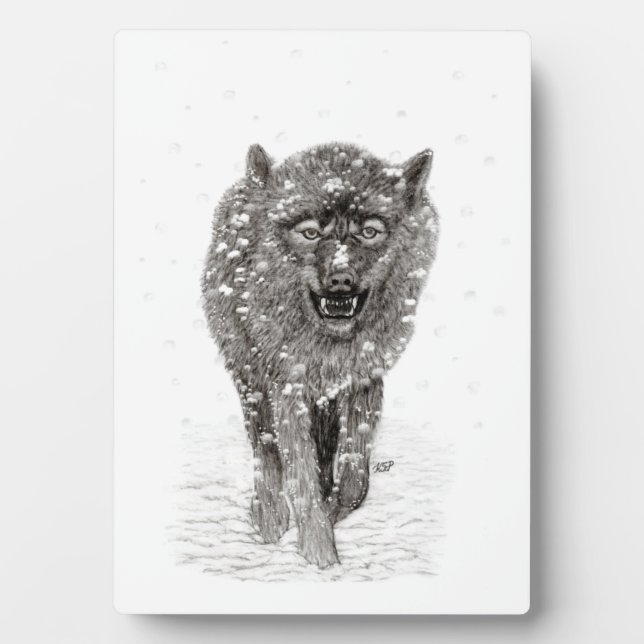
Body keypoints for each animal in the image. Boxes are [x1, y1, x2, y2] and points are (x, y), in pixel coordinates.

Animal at [202, 142, 438, 568]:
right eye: (310, 232)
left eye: (369, 231)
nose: (341, 280)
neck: (329, 347)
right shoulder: (287, 389)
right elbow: (299, 473)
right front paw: (318, 552)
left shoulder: (364, 380)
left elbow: (354, 478)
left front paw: (329, 514)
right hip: (250, 380)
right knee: (264, 450)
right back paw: (268, 516)